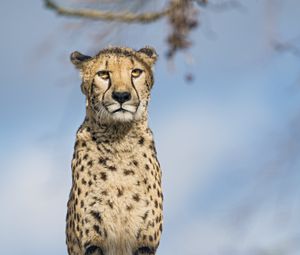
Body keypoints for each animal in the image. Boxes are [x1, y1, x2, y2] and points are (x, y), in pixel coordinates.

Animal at [66, 46, 163, 255]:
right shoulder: (93, 242)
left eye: (136, 72)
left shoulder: (145, 243)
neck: (119, 140)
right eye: (103, 74)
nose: (121, 96)